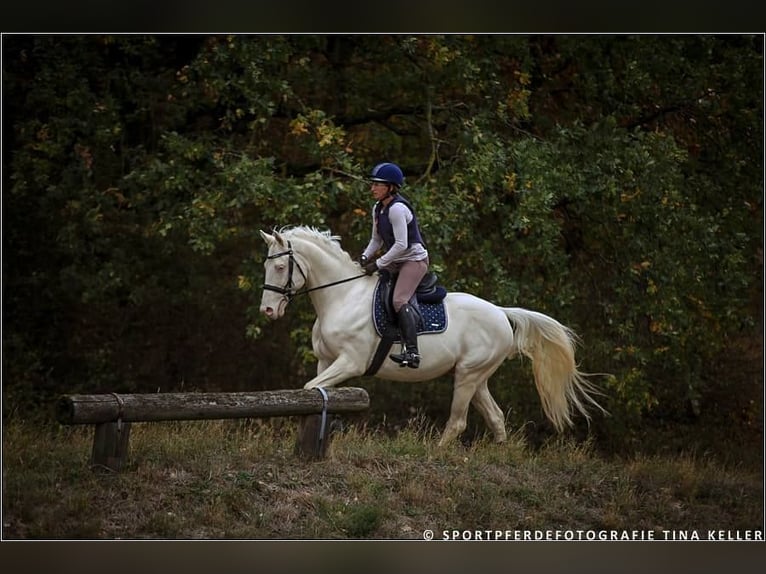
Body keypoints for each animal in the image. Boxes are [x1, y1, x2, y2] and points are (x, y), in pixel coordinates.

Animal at [258, 225, 605, 446]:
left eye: (280, 268)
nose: (268, 311)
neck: (342, 296)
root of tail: (500, 312)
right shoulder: (326, 360)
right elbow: (311, 392)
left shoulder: (350, 362)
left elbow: (311, 389)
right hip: (476, 377)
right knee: (495, 417)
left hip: (468, 374)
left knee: (458, 422)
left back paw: (437, 453)